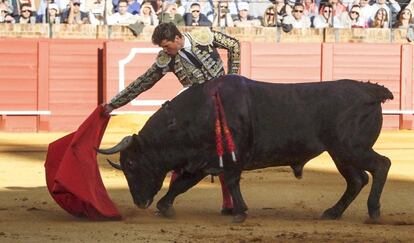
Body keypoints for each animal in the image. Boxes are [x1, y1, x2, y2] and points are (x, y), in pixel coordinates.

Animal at [98, 75, 392, 223]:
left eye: (131, 164)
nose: (139, 202)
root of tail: (371, 91)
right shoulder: (201, 160)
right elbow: (180, 184)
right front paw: (165, 206)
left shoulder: (229, 159)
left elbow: (230, 180)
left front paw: (239, 212)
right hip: (340, 153)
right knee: (356, 180)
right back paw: (333, 212)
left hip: (350, 148)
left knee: (381, 165)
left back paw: (374, 212)